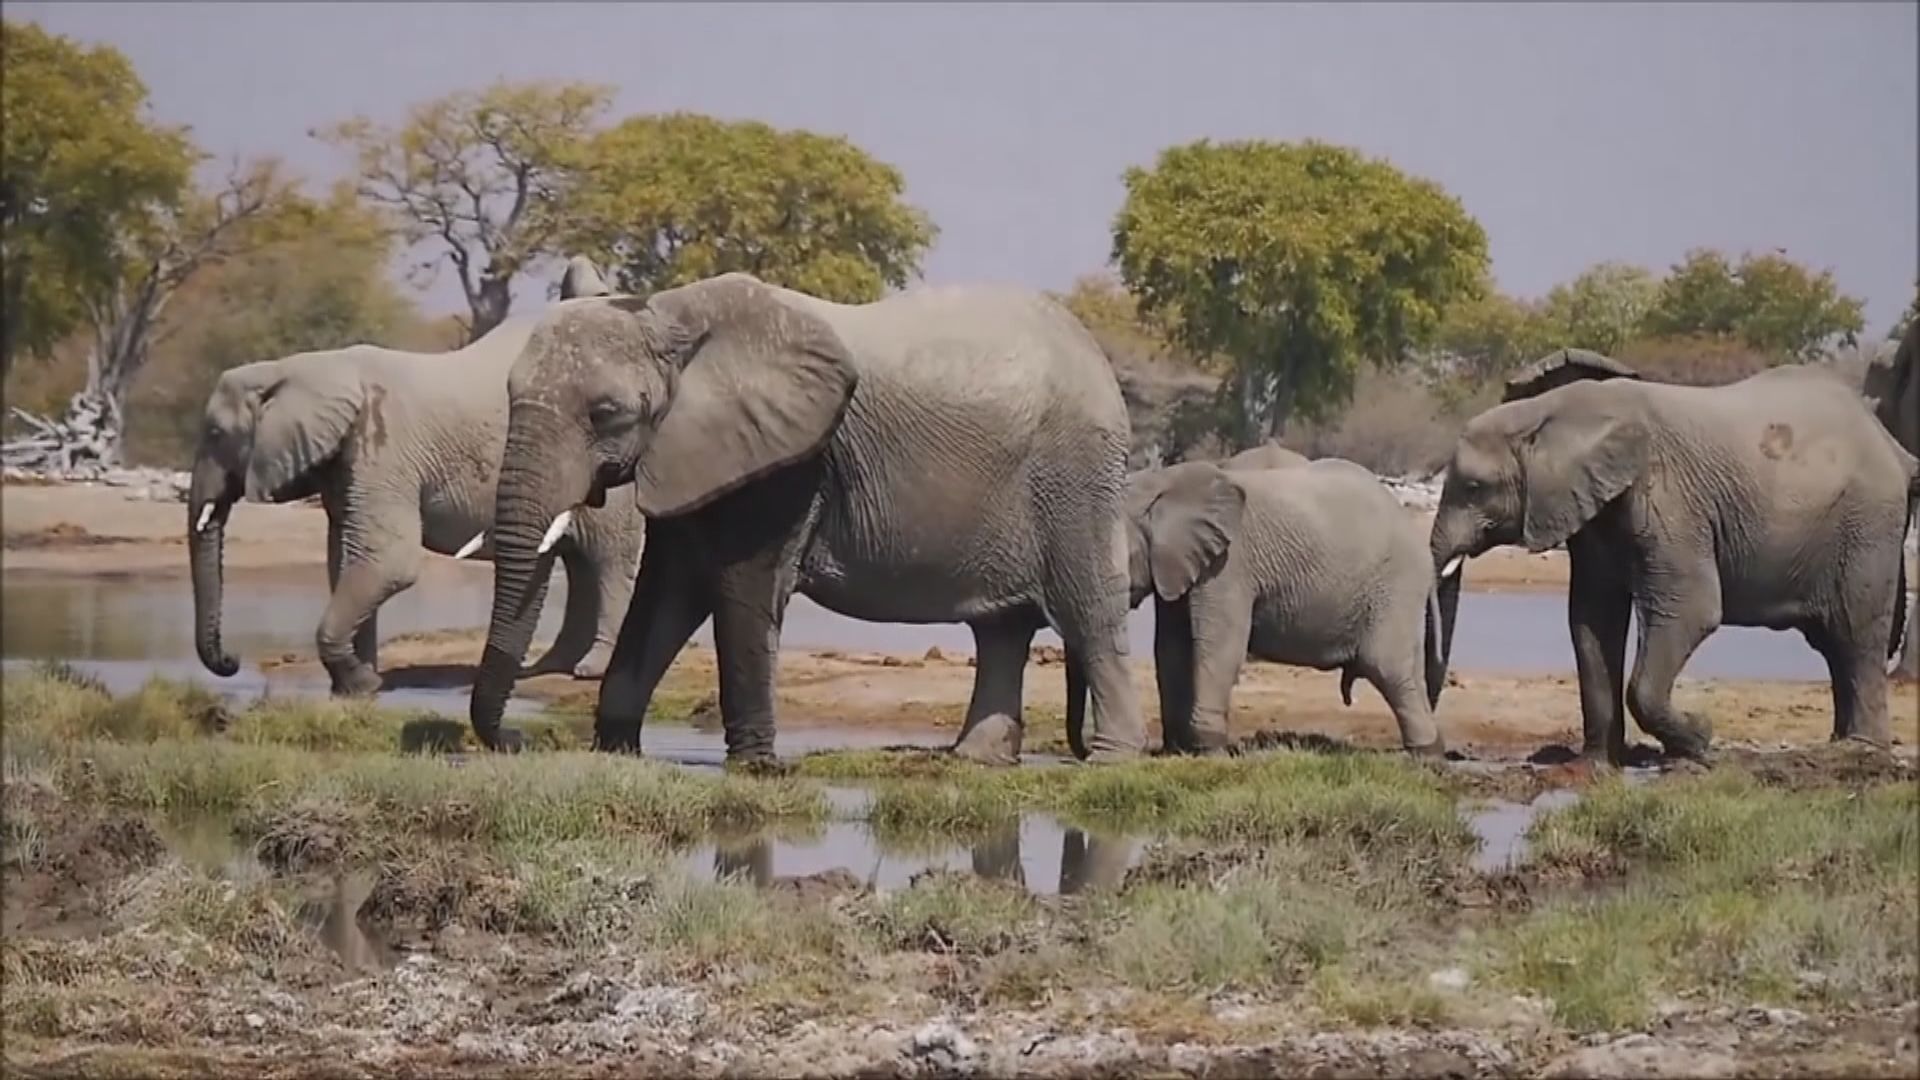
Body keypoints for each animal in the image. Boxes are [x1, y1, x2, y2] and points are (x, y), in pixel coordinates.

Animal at [191, 253, 648, 687]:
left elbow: (388, 562)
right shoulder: (348, 463)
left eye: (214, 433)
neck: (298, 367)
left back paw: (589, 670)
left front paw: (359, 682)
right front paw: (361, 684)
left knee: (608, 562)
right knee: (581, 565)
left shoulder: (383, 454)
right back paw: (548, 668)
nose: (231, 661)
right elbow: (346, 558)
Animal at [466, 269, 1144, 760]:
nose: (514, 740)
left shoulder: (786, 464)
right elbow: (668, 591)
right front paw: (616, 750)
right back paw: (975, 760)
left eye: (606, 414)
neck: (669, 312)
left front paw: (755, 767)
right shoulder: (695, 457)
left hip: (1074, 478)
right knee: (1000, 628)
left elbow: (739, 590)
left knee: (1088, 613)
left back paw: (1111, 759)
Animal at [1059, 455, 1443, 757]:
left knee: (1386, 665)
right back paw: (1432, 749)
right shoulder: (1182, 565)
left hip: (1396, 584)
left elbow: (1219, 646)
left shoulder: (1229, 565)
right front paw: (1177, 751)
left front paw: (1209, 751)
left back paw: (1425, 754)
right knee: (1407, 668)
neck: (1163, 486)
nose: (1083, 751)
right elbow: (1171, 649)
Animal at [1436, 349, 1912, 760]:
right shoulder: (1595, 512)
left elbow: (1692, 609)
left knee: (1854, 633)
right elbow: (1593, 619)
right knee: (1834, 644)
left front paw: (1699, 739)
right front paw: (1597, 764)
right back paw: (1840, 746)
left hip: (1868, 523)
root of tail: (1894, 448)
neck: (1549, 413)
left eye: (1474, 487)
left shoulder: (1668, 503)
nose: (1445, 751)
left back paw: (1861, 751)